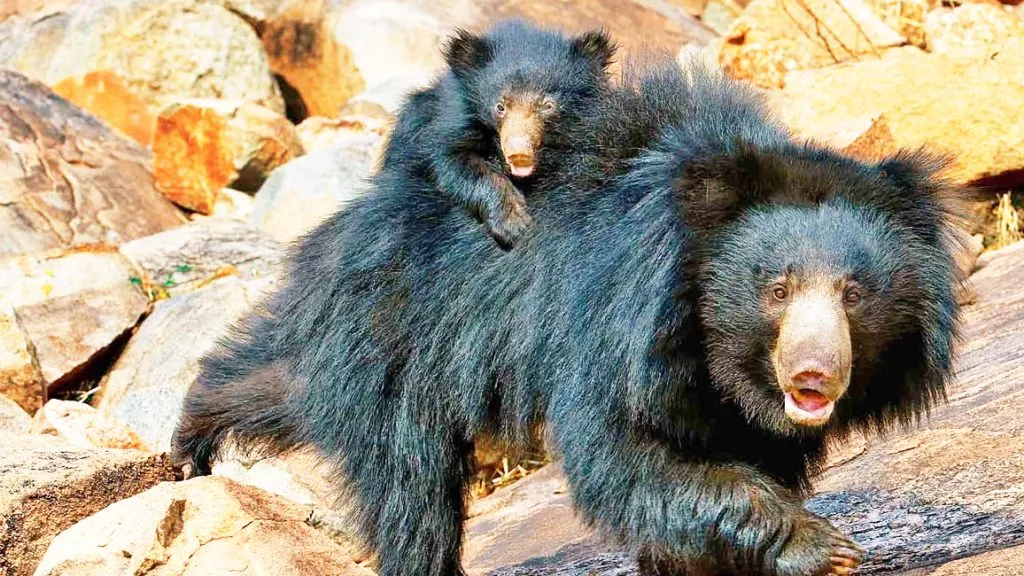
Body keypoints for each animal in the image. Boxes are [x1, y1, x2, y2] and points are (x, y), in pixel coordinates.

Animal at [171, 55, 967, 576]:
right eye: (776, 288)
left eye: (855, 294)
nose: (813, 375)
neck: (712, 351)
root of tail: (340, 233)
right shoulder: (611, 328)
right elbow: (623, 456)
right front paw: (826, 548)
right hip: (397, 343)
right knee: (410, 491)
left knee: (279, 386)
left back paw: (191, 436)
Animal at [386, 19, 616, 250]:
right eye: (500, 106)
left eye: (548, 105)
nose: (519, 152)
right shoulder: (455, 118)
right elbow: (453, 161)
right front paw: (513, 223)